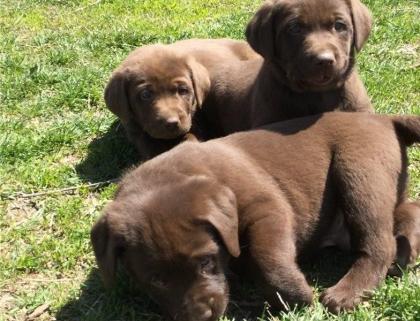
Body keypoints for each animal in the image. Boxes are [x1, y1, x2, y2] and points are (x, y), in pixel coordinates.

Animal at [91, 112, 420, 318]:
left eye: (207, 262)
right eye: (156, 280)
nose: (202, 315)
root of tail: (385, 118)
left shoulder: (268, 209)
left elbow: (267, 256)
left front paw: (295, 295)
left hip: (360, 171)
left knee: (379, 242)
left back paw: (348, 292)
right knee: (408, 209)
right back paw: (407, 251)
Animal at [103, 38, 258, 159]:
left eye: (183, 90)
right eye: (145, 95)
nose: (171, 123)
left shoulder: (194, 122)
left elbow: (189, 138)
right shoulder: (137, 131)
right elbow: (150, 147)